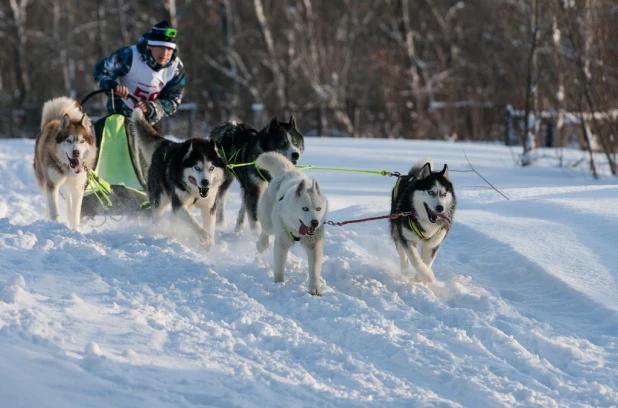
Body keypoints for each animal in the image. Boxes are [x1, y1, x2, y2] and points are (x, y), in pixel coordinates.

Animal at [33, 96, 95, 230]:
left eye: (82, 141)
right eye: (68, 140)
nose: (76, 152)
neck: (68, 169)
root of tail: (53, 120)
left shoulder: (77, 187)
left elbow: (76, 214)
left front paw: (75, 229)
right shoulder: (52, 185)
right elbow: (54, 211)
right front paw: (54, 227)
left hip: (69, 187)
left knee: (69, 205)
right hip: (43, 181)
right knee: (48, 204)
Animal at [254, 151, 328, 294]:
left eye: (318, 209)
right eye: (305, 208)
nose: (315, 222)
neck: (298, 232)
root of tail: (288, 171)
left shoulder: (314, 246)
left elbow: (314, 271)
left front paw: (314, 289)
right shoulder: (281, 244)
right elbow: (279, 269)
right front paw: (278, 285)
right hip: (268, 221)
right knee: (265, 230)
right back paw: (261, 244)